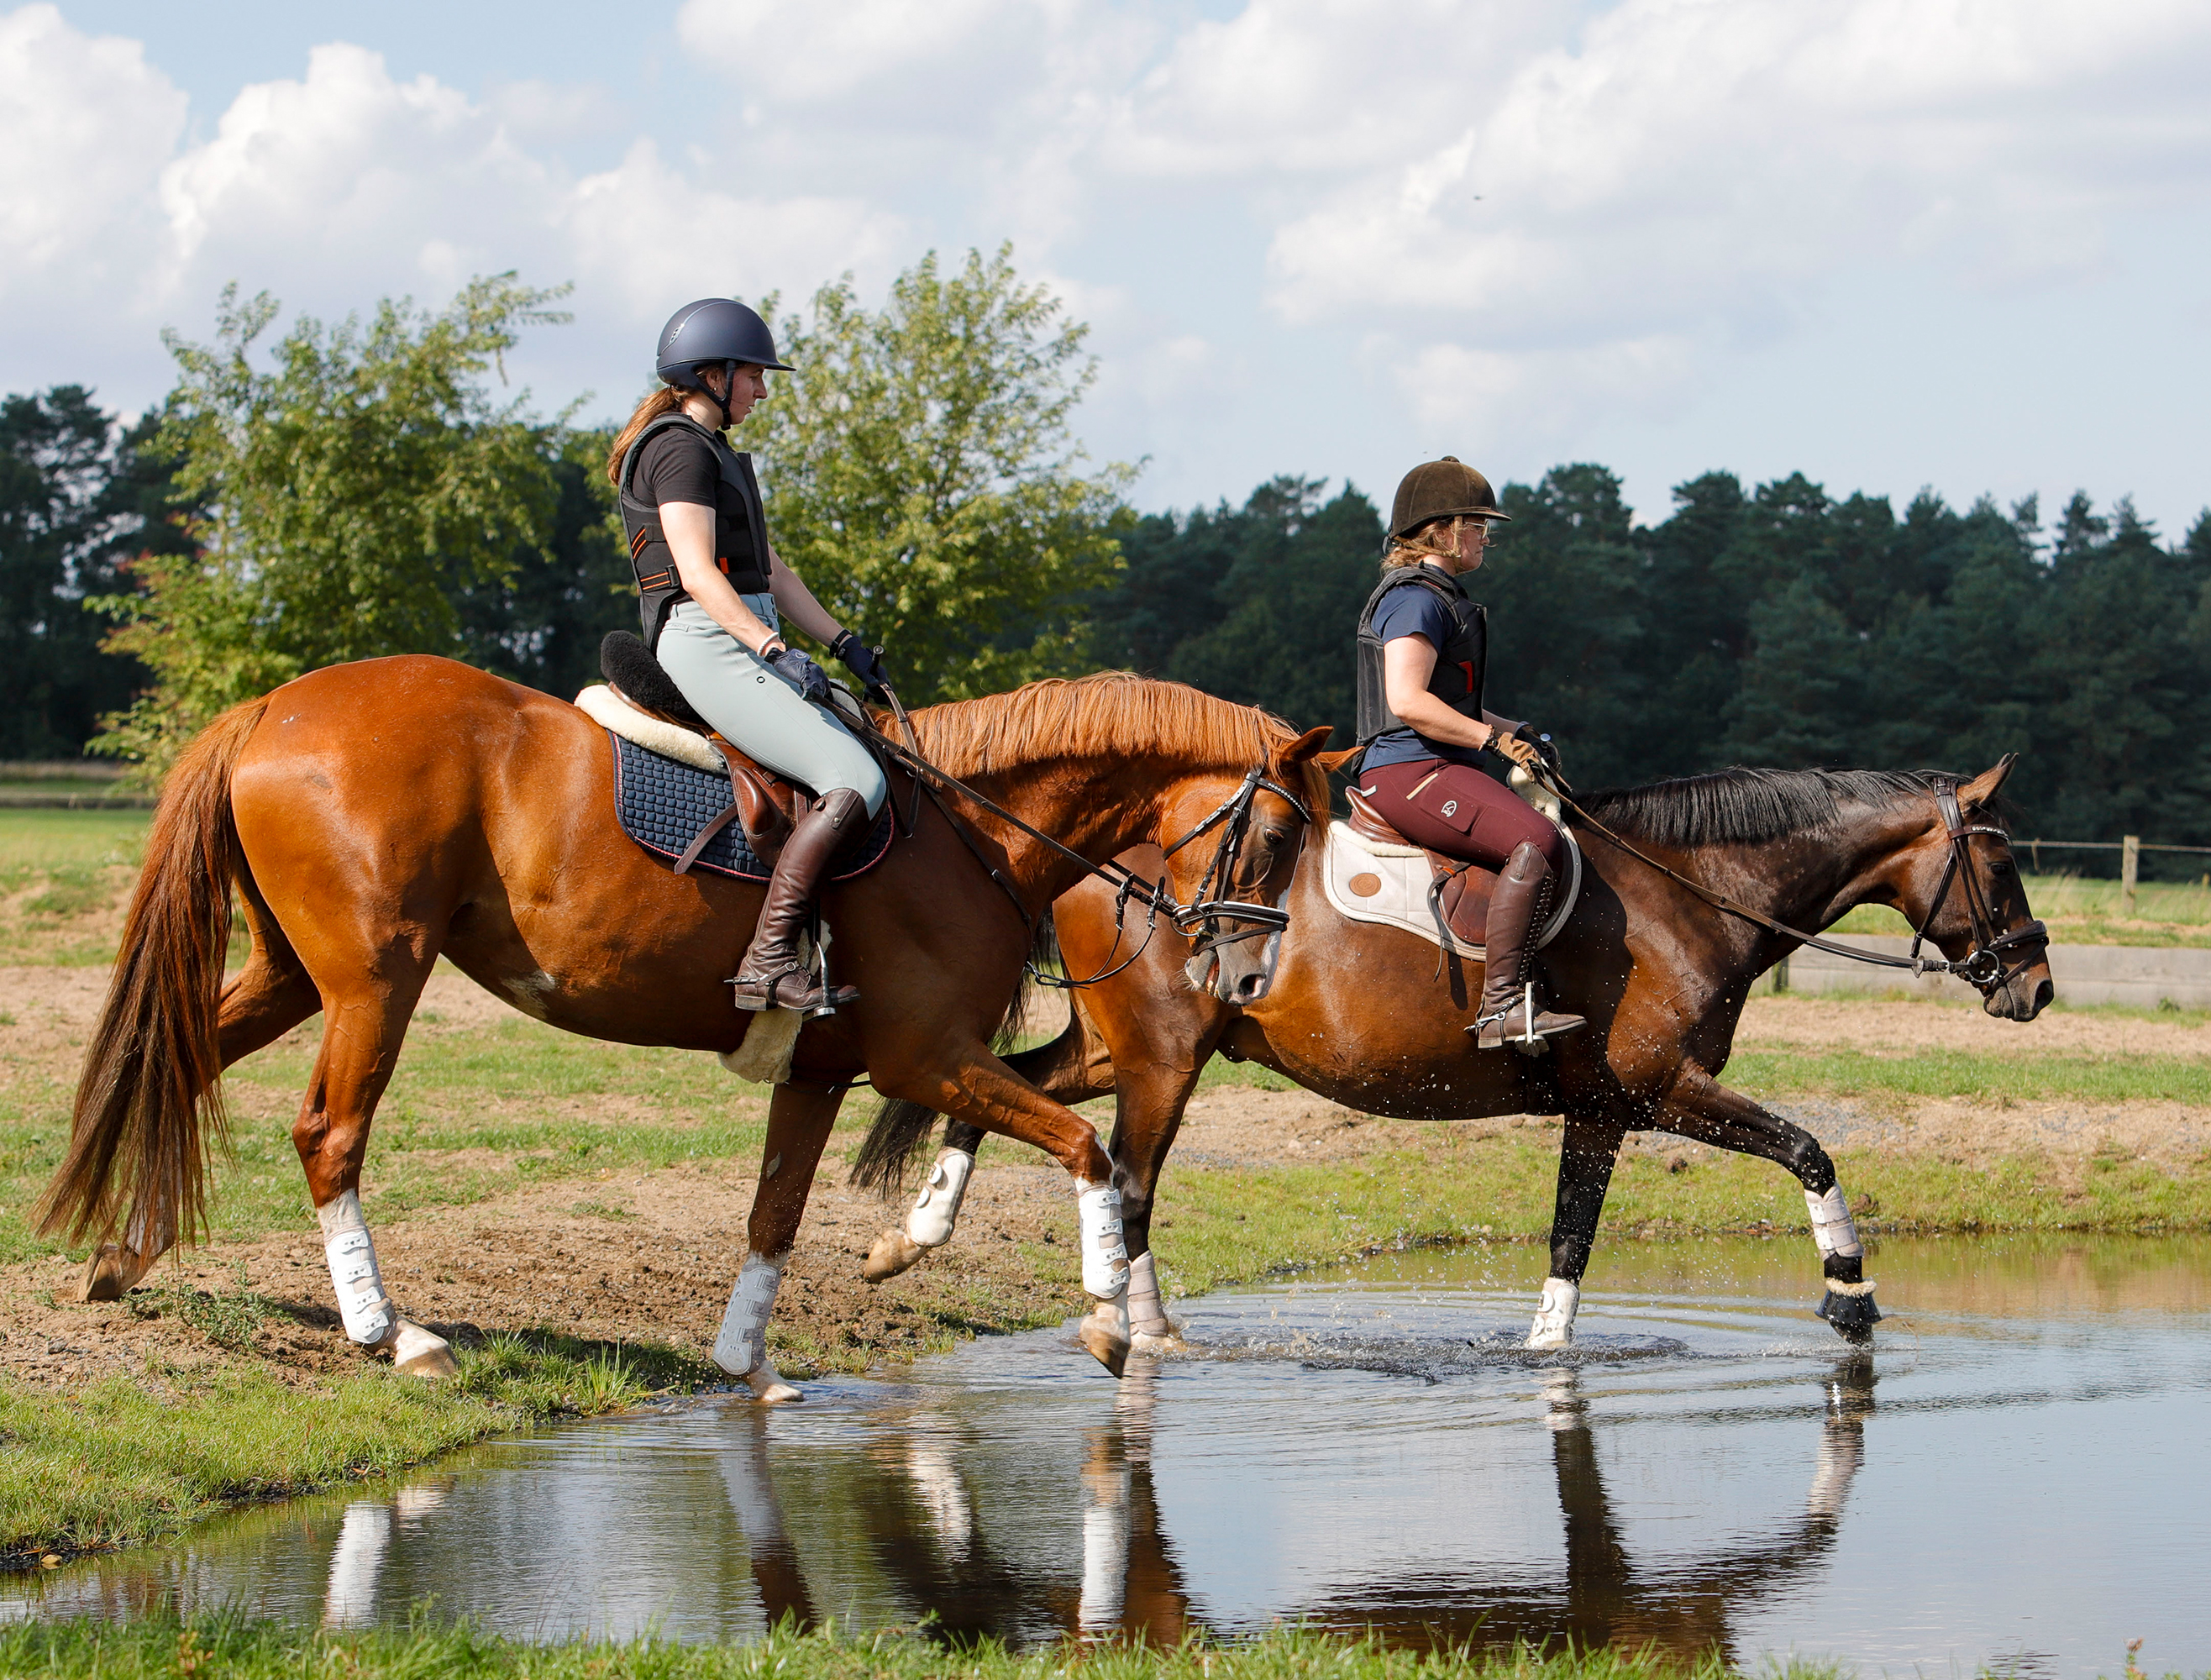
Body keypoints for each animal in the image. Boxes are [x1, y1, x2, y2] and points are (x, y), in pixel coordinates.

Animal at [35, 658, 1330, 1392]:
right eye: (1273, 838)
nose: (1244, 976)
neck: (971, 831)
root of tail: (275, 708)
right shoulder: (925, 1058)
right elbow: (1092, 1150)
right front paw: (1110, 1320)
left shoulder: (823, 1072)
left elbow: (773, 1216)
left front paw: (747, 1366)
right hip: (374, 980)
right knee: (328, 1134)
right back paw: (391, 1334)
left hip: (297, 974)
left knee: (179, 1058)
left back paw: (124, 1256)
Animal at [855, 761, 2052, 1346]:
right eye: (2000, 865)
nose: (2036, 983)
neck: (1691, 894)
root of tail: (1104, 853)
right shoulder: (1666, 1087)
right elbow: (1808, 1149)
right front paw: (1850, 1293)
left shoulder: (1606, 1109)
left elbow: (1570, 1240)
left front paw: (1546, 1351)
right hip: (1162, 1057)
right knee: (1132, 1179)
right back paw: (1141, 1332)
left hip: (1119, 1047)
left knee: (1017, 1094)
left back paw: (915, 1234)